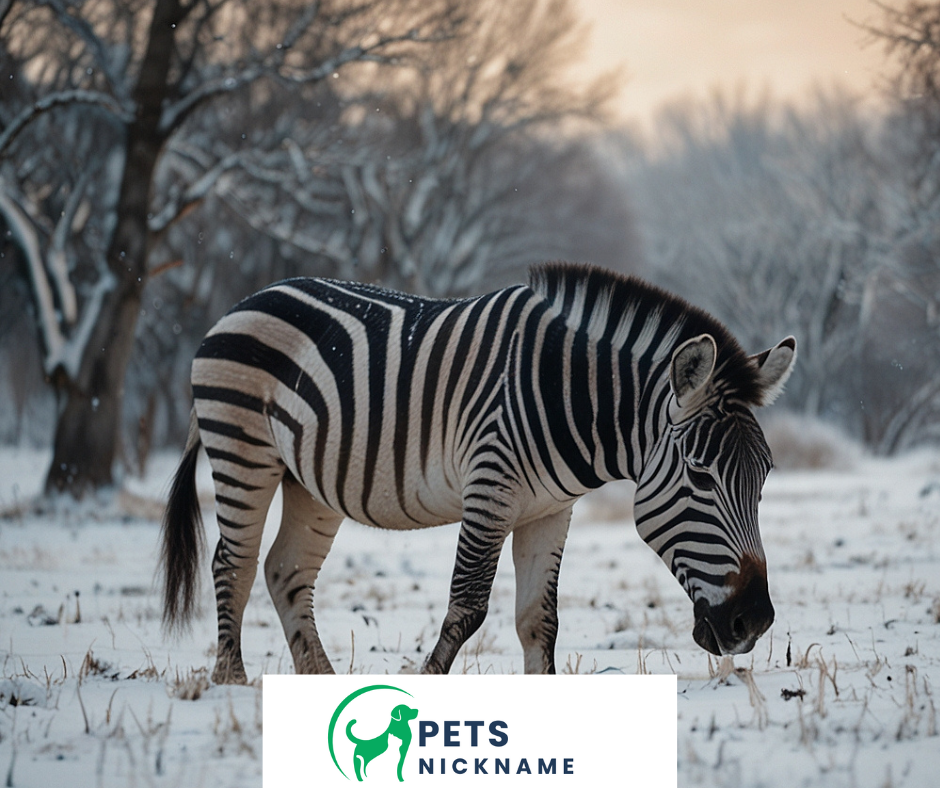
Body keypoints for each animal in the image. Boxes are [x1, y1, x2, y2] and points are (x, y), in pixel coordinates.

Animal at [160, 264, 792, 684]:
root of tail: (245, 301)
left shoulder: (549, 511)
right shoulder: (490, 490)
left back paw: (319, 680)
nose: (755, 621)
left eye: (763, 478)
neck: (569, 396)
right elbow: (466, 608)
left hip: (307, 481)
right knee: (234, 564)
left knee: (285, 570)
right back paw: (230, 681)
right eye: (700, 476)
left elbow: (539, 619)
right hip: (242, 449)